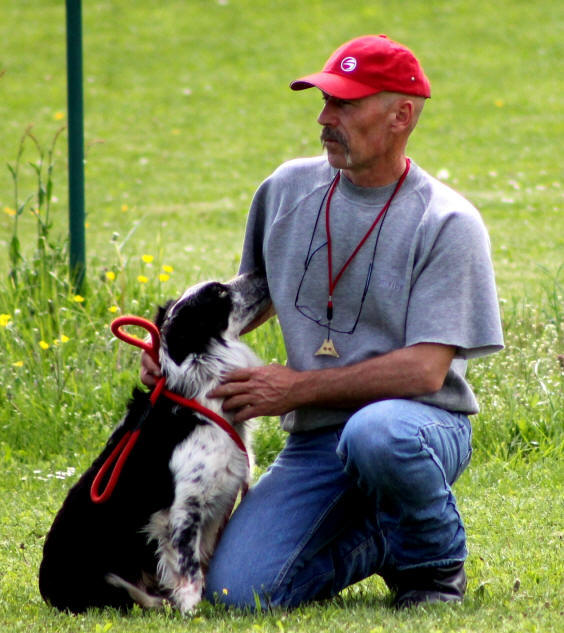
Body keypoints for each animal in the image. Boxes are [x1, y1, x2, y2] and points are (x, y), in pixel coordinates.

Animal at [39, 272, 268, 612]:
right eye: (218, 292)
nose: (261, 273)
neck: (198, 399)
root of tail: (47, 590)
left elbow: (202, 562)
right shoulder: (183, 508)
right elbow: (188, 567)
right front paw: (194, 610)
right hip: (110, 579)